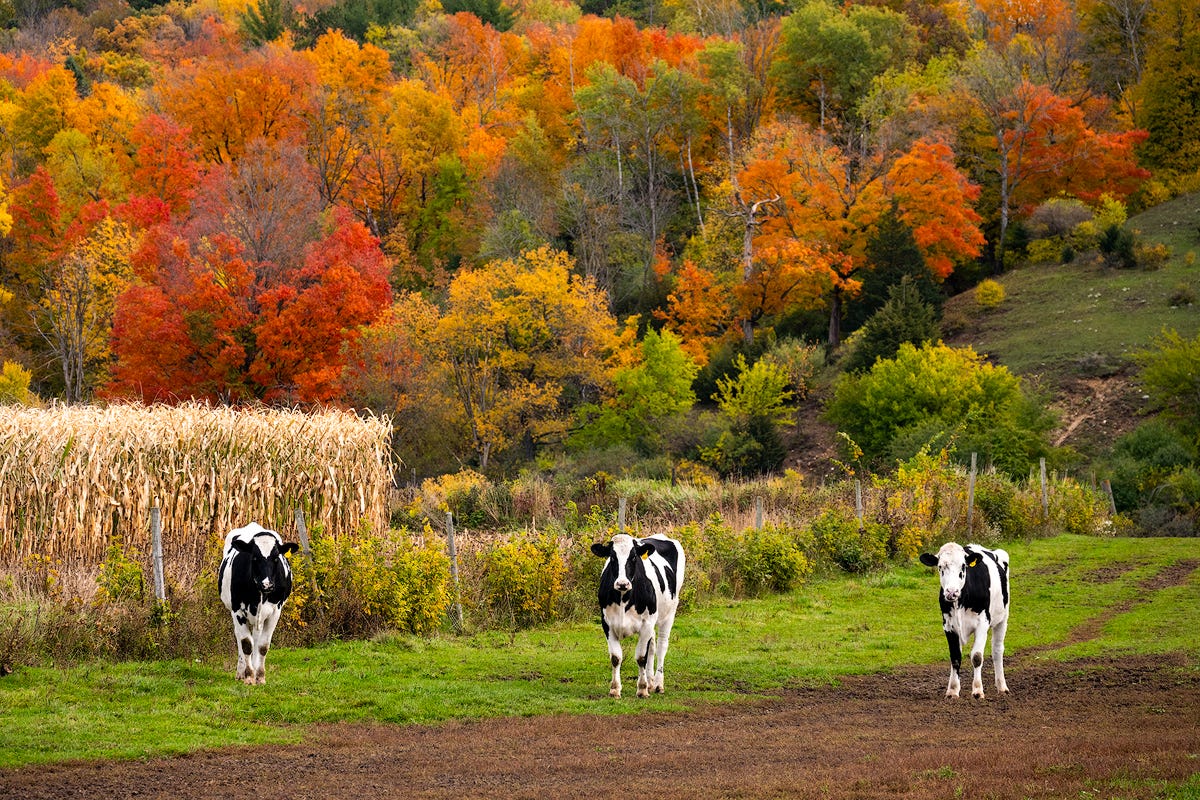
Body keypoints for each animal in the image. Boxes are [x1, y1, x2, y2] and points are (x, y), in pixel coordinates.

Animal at [217, 522, 300, 685]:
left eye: (276, 558)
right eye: (254, 557)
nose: (267, 584)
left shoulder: (275, 612)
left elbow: (262, 646)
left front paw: (260, 676)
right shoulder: (237, 610)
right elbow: (246, 644)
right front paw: (249, 676)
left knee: (256, 637)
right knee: (240, 637)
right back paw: (241, 672)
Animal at [590, 533, 685, 699]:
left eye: (634, 557)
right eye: (612, 557)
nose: (622, 583)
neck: (623, 598)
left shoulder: (647, 623)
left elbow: (641, 657)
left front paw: (642, 689)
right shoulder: (607, 623)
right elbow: (616, 657)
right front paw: (615, 689)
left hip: (669, 614)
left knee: (661, 646)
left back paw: (658, 684)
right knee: (652, 646)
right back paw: (651, 682)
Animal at [919, 541, 1010, 699]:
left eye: (963, 566)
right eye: (940, 567)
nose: (951, 592)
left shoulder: (983, 623)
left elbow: (977, 657)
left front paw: (978, 690)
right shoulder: (948, 625)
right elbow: (955, 657)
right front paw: (953, 690)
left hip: (1002, 619)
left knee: (997, 650)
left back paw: (1002, 686)